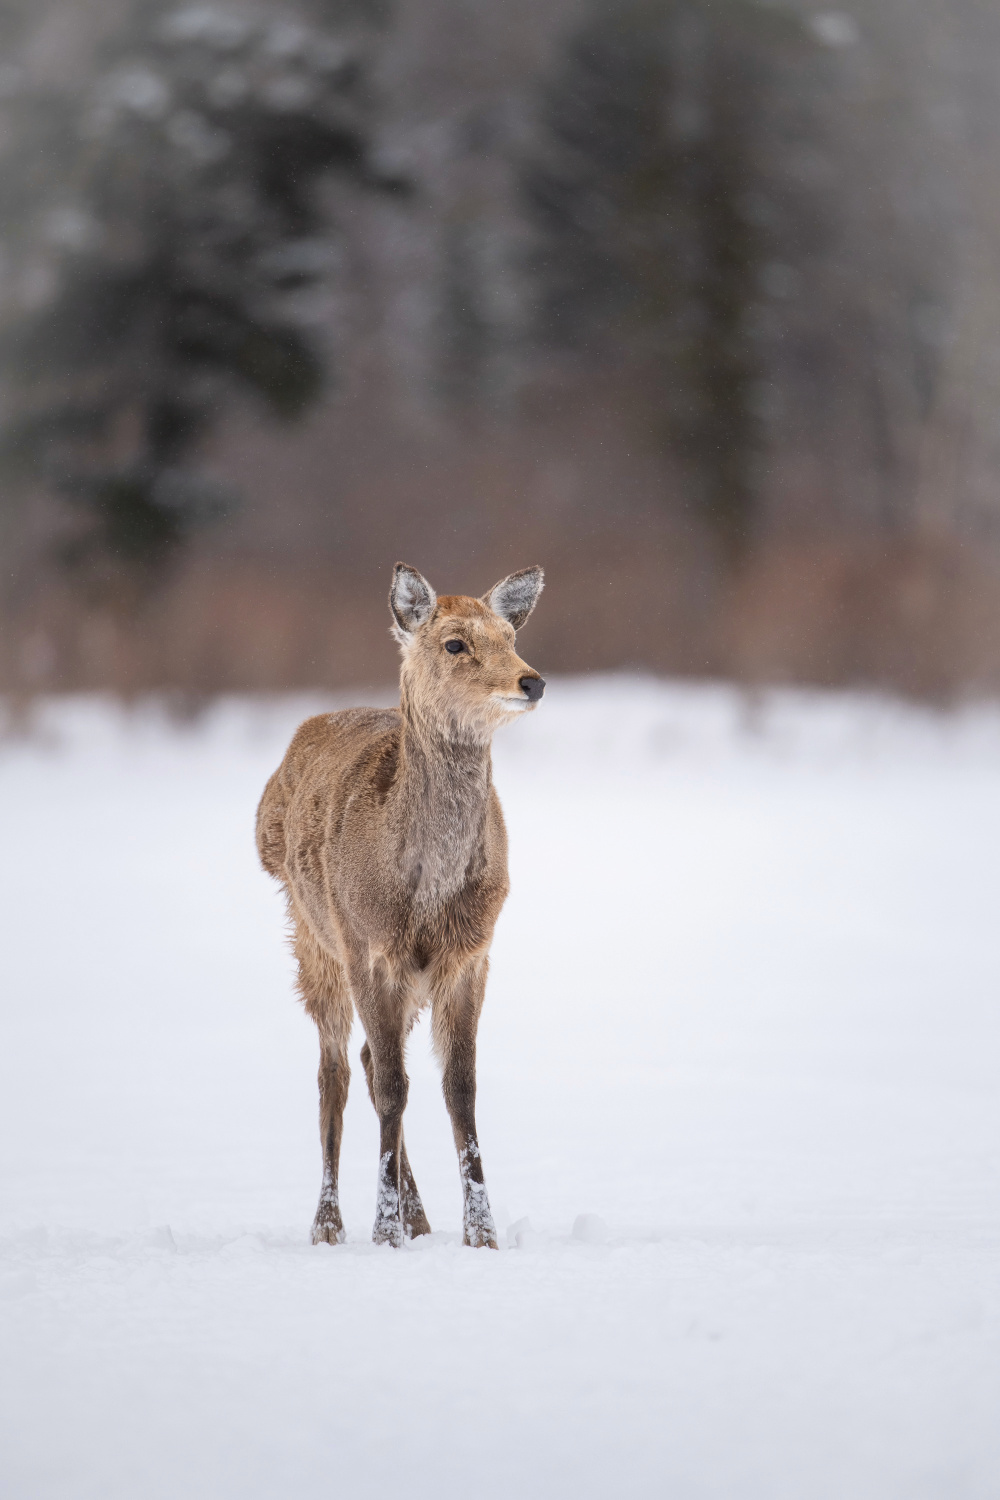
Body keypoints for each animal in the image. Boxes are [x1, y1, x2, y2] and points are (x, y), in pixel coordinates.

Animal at [254, 561, 542, 1242]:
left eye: (510, 635)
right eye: (455, 644)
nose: (532, 680)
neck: (424, 893)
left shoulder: (469, 953)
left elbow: (458, 1086)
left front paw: (480, 1232)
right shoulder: (366, 944)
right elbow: (391, 1084)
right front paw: (382, 1229)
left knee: (364, 1058)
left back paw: (420, 1218)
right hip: (313, 936)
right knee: (335, 1069)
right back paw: (329, 1223)